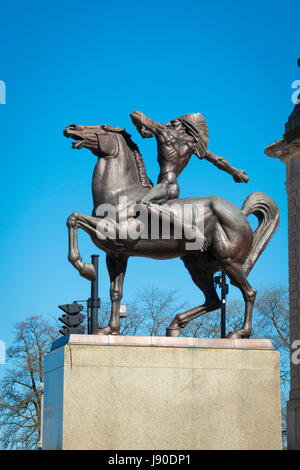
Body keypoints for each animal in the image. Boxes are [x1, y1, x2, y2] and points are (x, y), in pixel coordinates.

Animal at [63, 123, 278, 338]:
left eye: (101, 127)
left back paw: (240, 333)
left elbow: (73, 218)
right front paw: (109, 330)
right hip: (197, 266)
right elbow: (116, 292)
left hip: (229, 261)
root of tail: (240, 213)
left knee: (249, 293)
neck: (119, 195)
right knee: (213, 301)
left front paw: (87, 269)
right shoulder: (116, 254)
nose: (71, 128)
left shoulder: (115, 233)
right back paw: (175, 325)